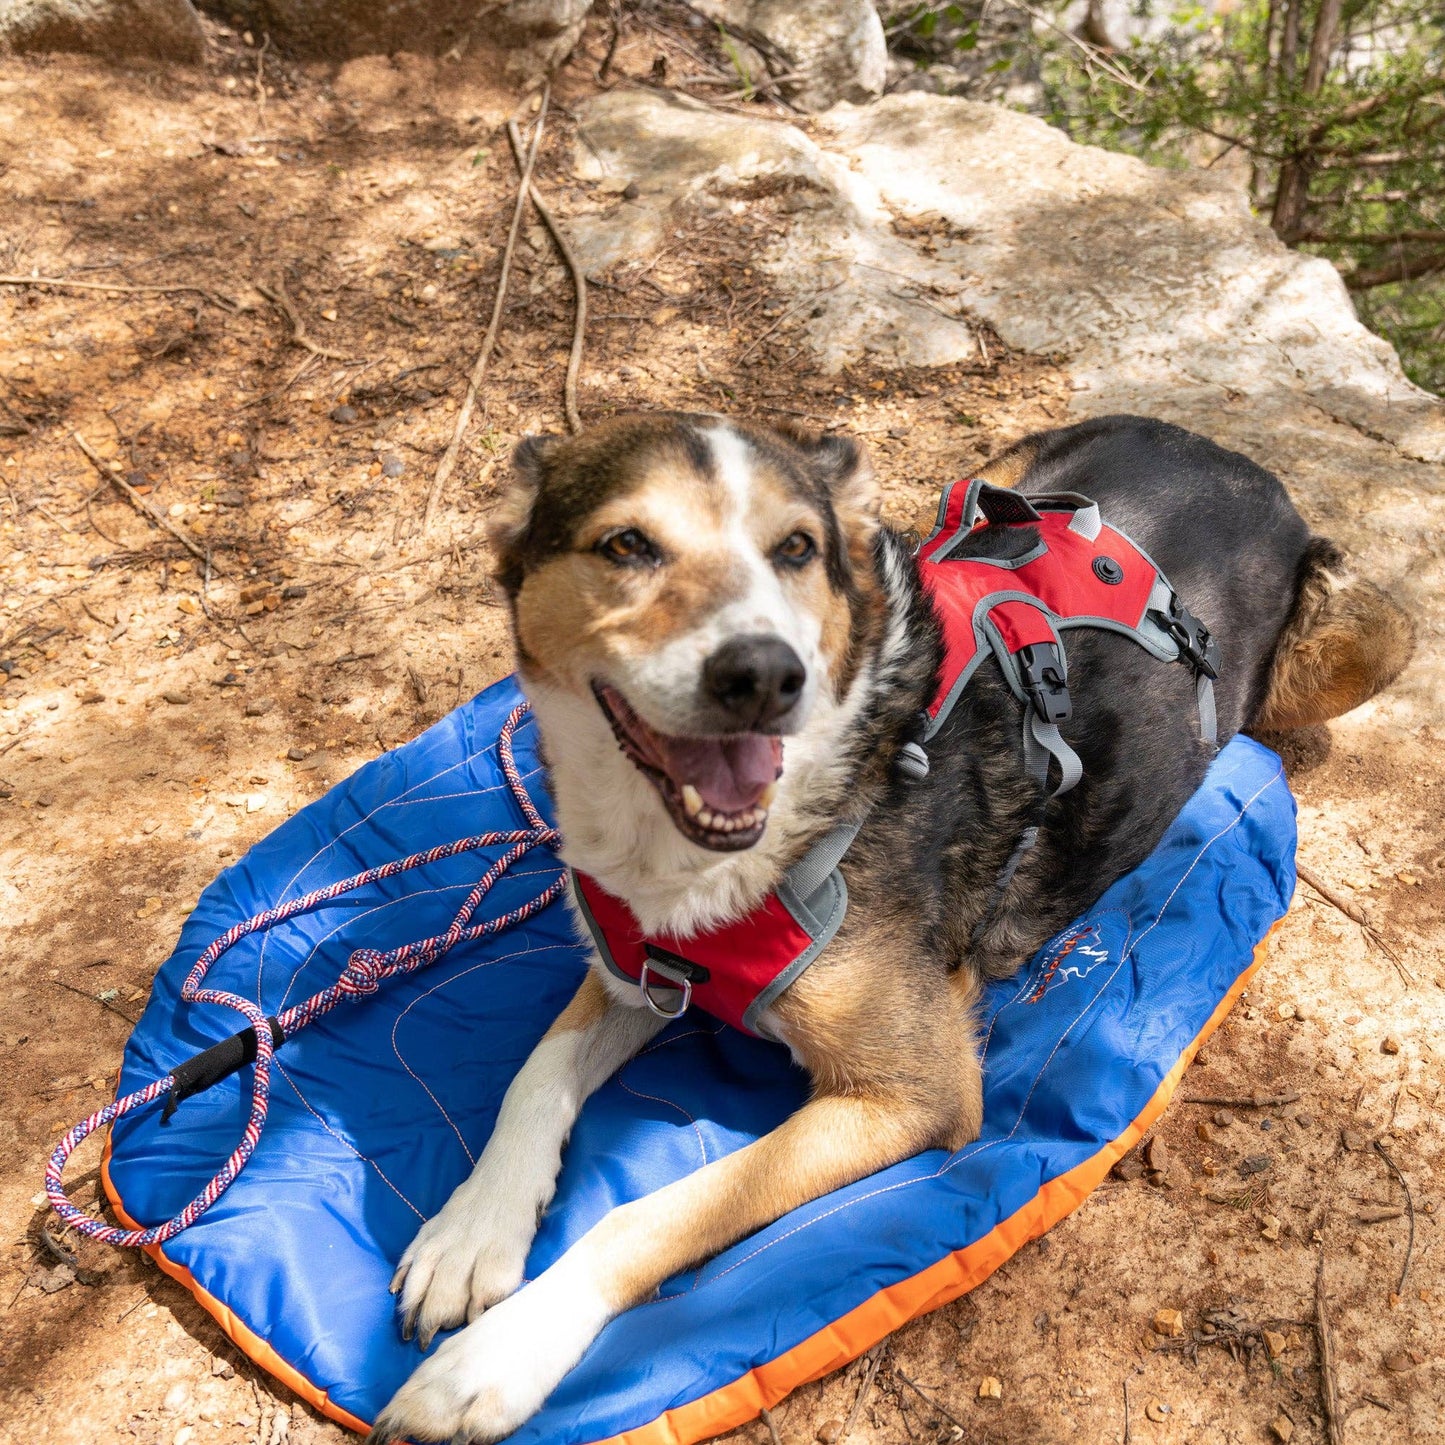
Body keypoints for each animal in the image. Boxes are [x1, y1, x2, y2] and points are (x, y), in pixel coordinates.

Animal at [369, 413, 1410, 1439]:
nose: (764, 675)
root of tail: (1226, 457)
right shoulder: (641, 968)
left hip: (1364, 637)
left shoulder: (915, 1092)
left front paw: (497, 1357)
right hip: (988, 480)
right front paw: (471, 1231)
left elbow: (657, 1210)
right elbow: (535, 1073)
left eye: (795, 549)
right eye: (626, 545)